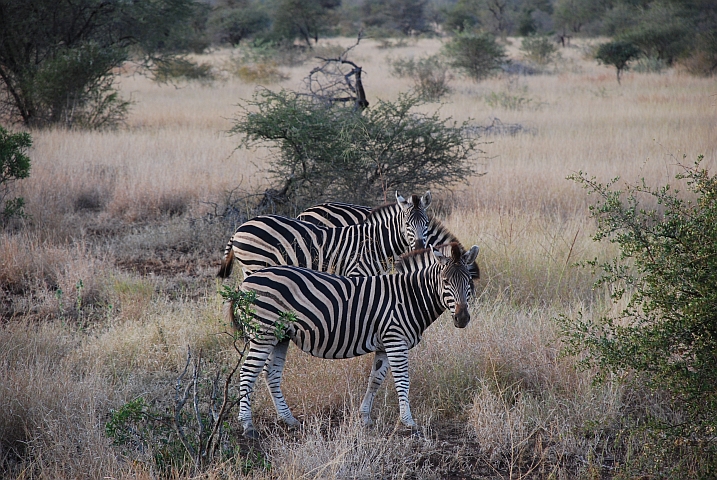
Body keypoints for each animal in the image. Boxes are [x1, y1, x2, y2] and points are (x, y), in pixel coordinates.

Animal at [217, 191, 430, 280]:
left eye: (426, 224)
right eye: (407, 224)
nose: (420, 247)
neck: (375, 242)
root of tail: (240, 228)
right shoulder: (356, 272)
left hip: (249, 267)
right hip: (255, 264)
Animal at [232, 242, 482, 436]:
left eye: (469, 282)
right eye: (445, 281)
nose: (462, 318)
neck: (409, 297)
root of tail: (247, 281)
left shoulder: (384, 344)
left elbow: (375, 379)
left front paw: (365, 418)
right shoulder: (396, 340)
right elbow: (402, 380)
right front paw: (408, 422)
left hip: (280, 336)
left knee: (271, 374)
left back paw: (289, 420)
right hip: (263, 332)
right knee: (248, 373)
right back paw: (248, 425)